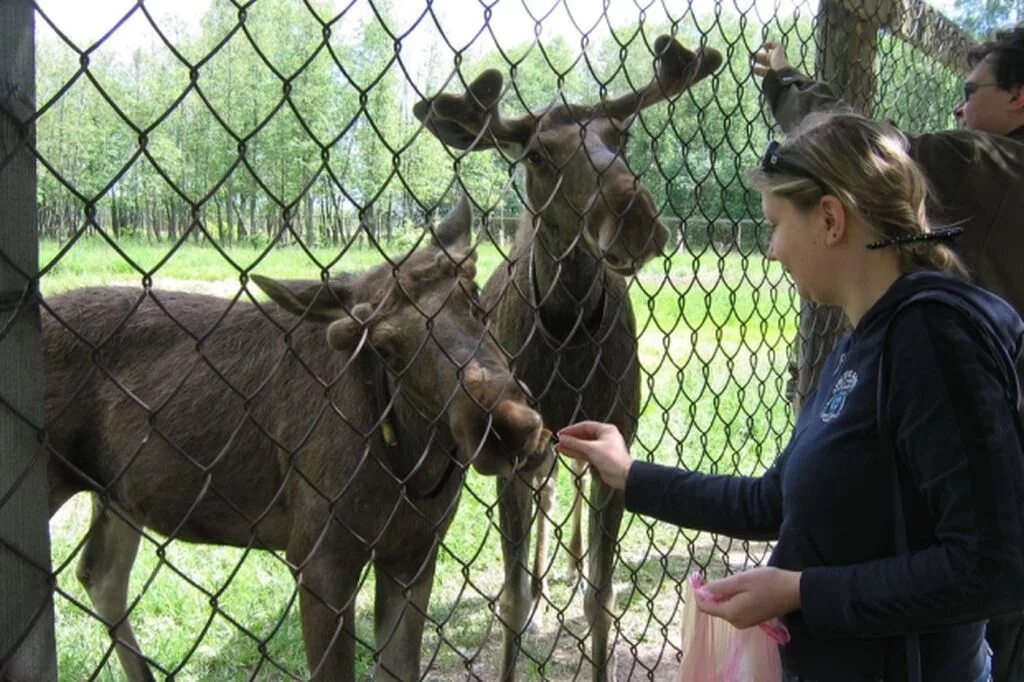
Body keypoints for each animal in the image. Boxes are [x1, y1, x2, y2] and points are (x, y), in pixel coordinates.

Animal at [38, 197, 548, 679]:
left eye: (475, 297)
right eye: (385, 348)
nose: (507, 427)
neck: (412, 466)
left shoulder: (415, 552)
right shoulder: (319, 556)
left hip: (119, 493)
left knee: (100, 572)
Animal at [411, 34, 724, 675]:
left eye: (621, 135)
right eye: (536, 155)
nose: (635, 217)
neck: (570, 345)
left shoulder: (618, 429)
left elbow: (604, 597)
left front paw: (587, 592)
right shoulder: (510, 443)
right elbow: (508, 597)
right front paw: (526, 603)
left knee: (568, 485)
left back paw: (571, 567)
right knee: (549, 490)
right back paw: (543, 585)